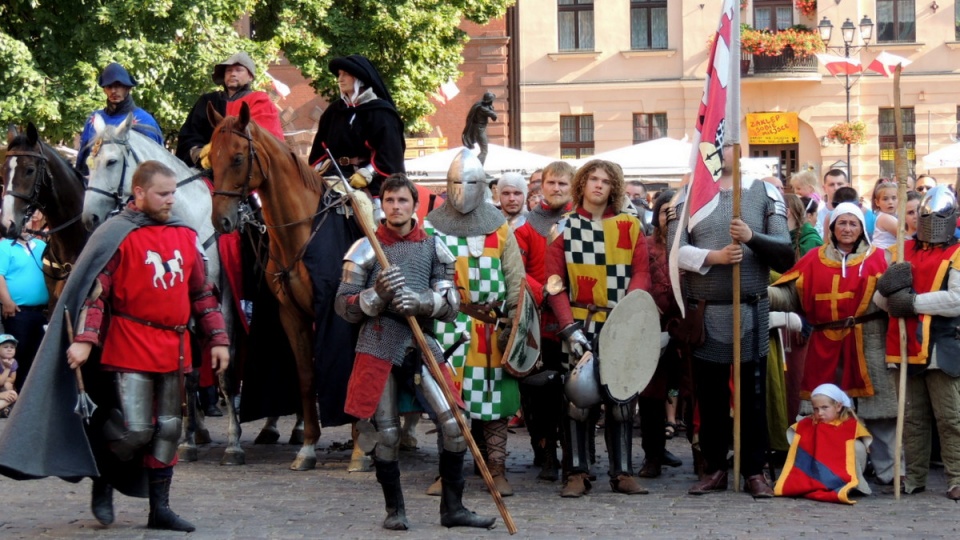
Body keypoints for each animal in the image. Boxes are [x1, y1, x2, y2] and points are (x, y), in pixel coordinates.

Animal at [205, 100, 364, 468]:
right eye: (211, 161)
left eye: (237, 158)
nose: (221, 221)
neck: (301, 231)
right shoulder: (292, 316)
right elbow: (306, 377)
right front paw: (307, 446)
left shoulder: (338, 314)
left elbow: (351, 371)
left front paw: (361, 446)